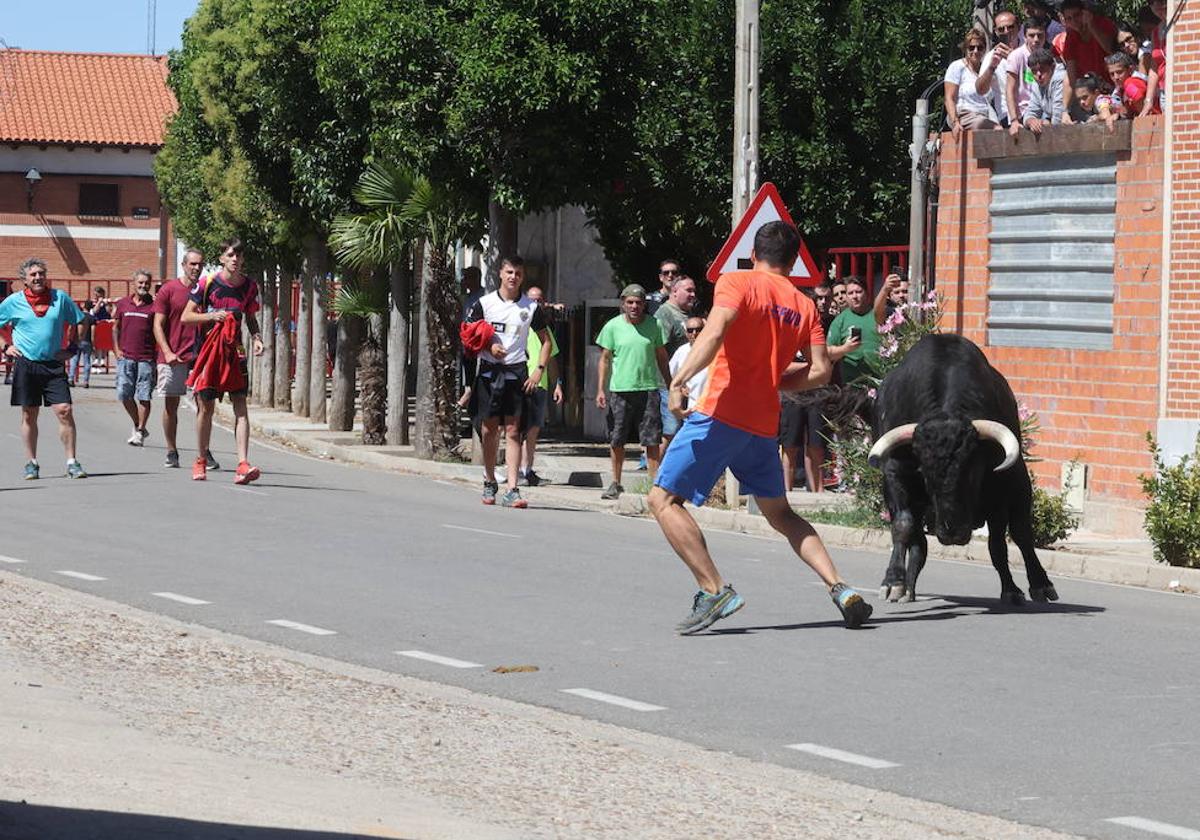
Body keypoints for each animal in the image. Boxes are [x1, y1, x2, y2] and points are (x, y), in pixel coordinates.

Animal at [868, 328, 1056, 604]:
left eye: (972, 471)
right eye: (925, 474)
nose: (952, 531)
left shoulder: (1013, 479)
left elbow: (1017, 534)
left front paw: (1035, 585)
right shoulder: (895, 472)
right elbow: (903, 525)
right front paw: (893, 582)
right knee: (918, 542)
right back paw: (908, 588)